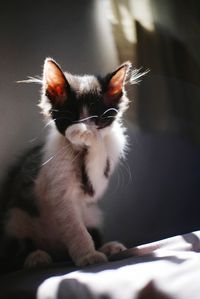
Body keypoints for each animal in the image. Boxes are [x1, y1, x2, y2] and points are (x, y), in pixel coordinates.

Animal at [0, 58, 133, 272]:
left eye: (99, 121)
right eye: (71, 119)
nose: (83, 131)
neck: (80, 154)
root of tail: (57, 252)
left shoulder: (94, 186)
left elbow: (98, 158)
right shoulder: (58, 190)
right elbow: (76, 229)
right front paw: (88, 256)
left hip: (92, 214)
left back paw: (110, 247)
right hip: (15, 217)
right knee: (15, 253)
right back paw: (36, 257)